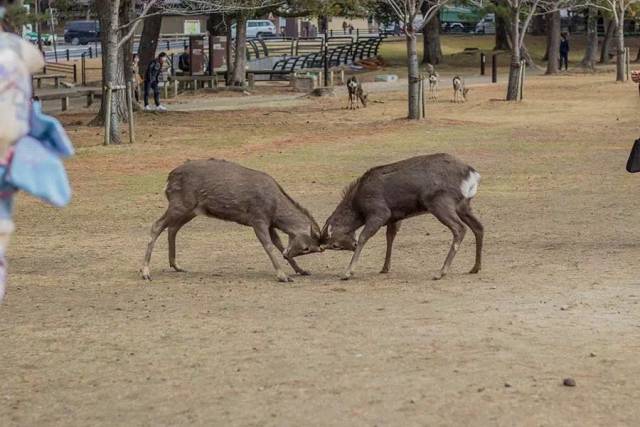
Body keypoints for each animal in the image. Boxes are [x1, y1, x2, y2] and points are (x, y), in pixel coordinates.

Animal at [144, 159, 324, 282]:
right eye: (307, 248)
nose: (288, 254)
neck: (275, 210)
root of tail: (168, 178)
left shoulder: (270, 224)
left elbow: (278, 244)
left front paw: (301, 270)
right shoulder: (257, 218)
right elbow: (268, 246)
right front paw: (282, 276)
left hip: (191, 210)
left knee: (173, 228)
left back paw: (176, 265)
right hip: (179, 204)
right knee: (156, 225)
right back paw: (146, 272)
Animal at [320, 154, 484, 280]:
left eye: (334, 245)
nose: (352, 246)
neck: (358, 206)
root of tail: (473, 175)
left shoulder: (380, 211)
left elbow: (363, 237)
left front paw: (347, 272)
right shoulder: (394, 217)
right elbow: (390, 237)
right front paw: (385, 268)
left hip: (441, 203)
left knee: (459, 228)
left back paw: (440, 272)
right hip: (463, 205)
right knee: (479, 227)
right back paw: (475, 267)